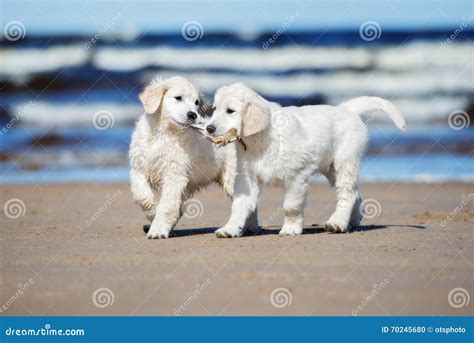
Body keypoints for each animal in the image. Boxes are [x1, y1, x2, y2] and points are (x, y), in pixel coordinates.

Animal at [130, 77, 248, 239]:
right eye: (178, 98)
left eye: (196, 102)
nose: (193, 115)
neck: (165, 132)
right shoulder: (139, 168)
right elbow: (142, 195)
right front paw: (152, 213)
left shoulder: (175, 175)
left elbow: (166, 205)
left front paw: (157, 230)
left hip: (231, 177)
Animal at [206, 84, 406, 239]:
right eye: (214, 109)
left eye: (230, 111)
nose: (209, 128)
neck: (260, 139)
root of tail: (346, 109)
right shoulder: (247, 177)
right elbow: (239, 205)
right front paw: (230, 228)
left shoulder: (296, 175)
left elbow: (291, 206)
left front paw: (290, 229)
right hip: (331, 169)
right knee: (355, 194)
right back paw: (349, 223)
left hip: (345, 161)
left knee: (347, 194)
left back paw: (337, 222)